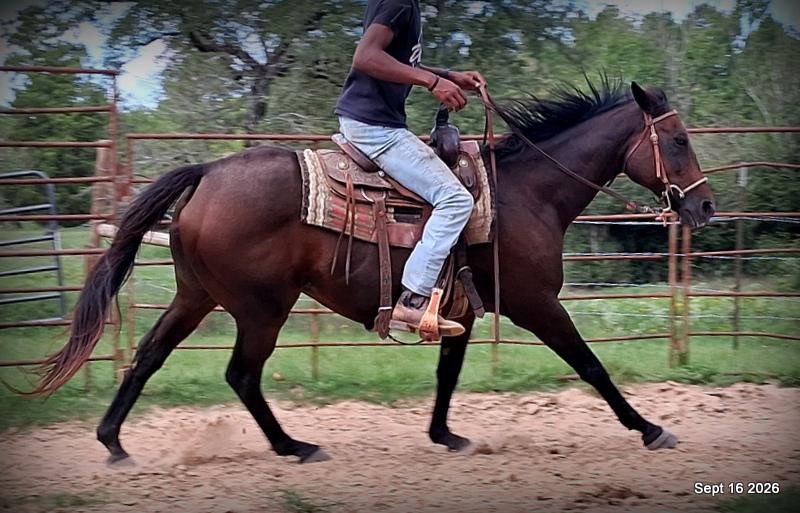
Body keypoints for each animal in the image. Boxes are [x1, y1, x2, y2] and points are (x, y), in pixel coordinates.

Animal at [31, 79, 715, 465]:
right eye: (679, 139)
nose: (704, 206)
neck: (526, 194)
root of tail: (206, 173)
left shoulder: (458, 310)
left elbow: (447, 373)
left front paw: (446, 437)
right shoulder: (536, 303)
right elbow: (591, 365)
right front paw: (651, 429)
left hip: (196, 295)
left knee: (150, 356)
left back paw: (113, 442)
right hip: (260, 307)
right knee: (242, 374)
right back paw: (295, 446)